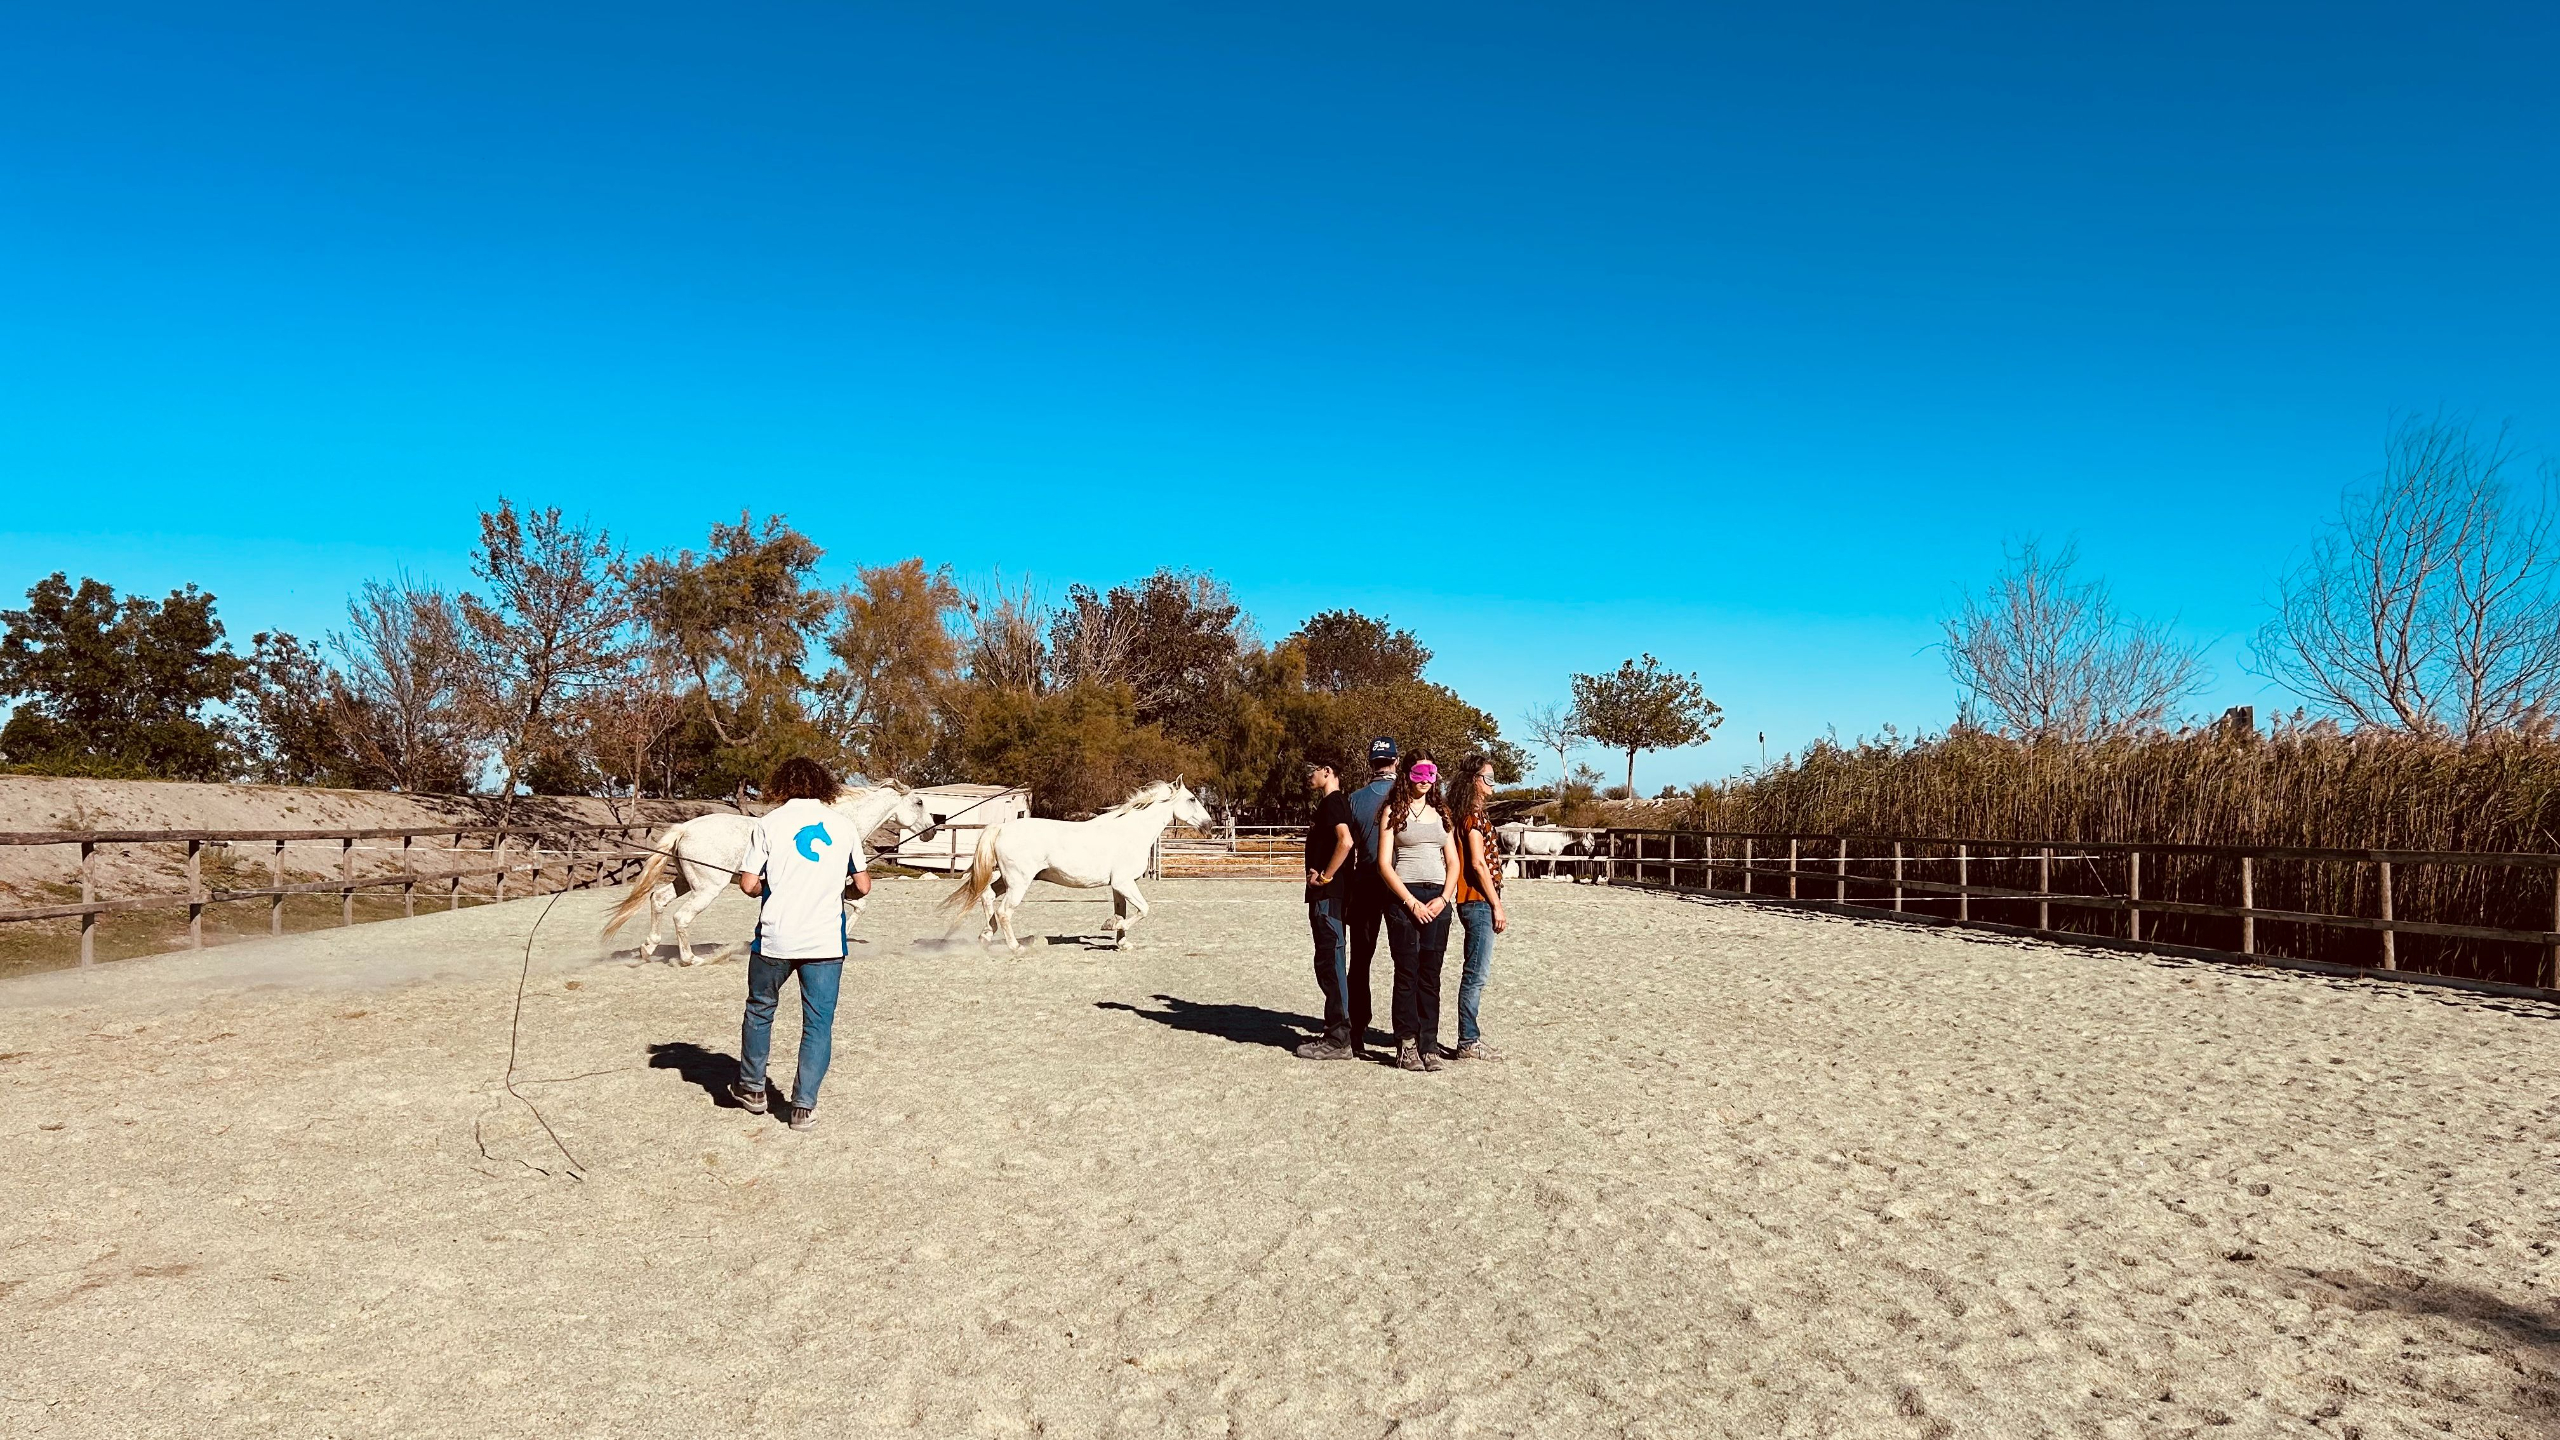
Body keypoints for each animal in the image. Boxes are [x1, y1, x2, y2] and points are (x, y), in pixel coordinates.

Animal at [602, 784, 936, 964]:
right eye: (919, 802)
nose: (932, 831)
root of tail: (686, 827)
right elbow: (859, 907)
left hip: (685, 882)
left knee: (658, 900)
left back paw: (648, 949)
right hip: (708, 888)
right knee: (681, 917)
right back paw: (691, 959)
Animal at [941, 778, 1213, 951]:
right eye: (1192, 799)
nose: (1209, 824)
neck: (1131, 831)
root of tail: (1001, 828)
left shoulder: (1118, 886)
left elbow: (1123, 911)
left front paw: (1122, 942)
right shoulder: (1125, 883)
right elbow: (1143, 910)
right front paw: (1111, 926)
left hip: (1009, 880)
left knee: (987, 896)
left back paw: (986, 937)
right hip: (1019, 882)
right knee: (1004, 911)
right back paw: (1016, 947)